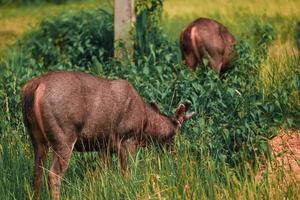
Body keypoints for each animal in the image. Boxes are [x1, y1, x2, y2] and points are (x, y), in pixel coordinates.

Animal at [20, 71, 195, 199]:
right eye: (173, 135)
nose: (173, 153)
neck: (145, 124)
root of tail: (34, 88)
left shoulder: (105, 146)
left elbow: (101, 174)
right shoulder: (127, 140)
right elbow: (127, 173)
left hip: (36, 138)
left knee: (36, 173)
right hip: (63, 135)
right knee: (53, 175)